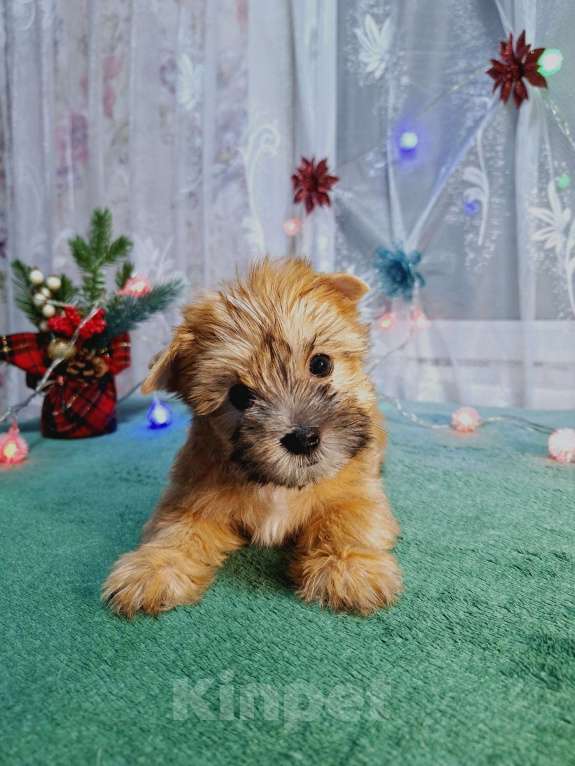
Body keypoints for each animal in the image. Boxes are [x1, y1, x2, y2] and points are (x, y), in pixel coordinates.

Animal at [101, 258, 402, 616]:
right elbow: (175, 530)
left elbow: (347, 521)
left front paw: (348, 567)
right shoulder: (193, 498)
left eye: (320, 364)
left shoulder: (357, 493)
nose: (303, 438)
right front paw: (153, 568)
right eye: (240, 396)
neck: (278, 485)